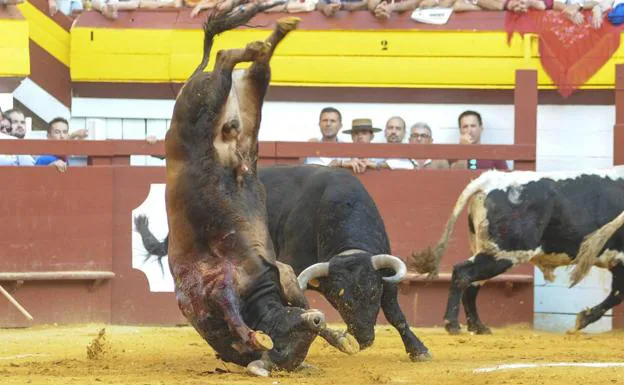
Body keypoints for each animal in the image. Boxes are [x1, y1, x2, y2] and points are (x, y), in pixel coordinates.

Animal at [135, 164, 428, 360]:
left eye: (373, 292)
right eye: (338, 298)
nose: (364, 339)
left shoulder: (385, 275)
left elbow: (396, 313)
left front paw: (418, 350)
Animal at [410, 166, 624, 334]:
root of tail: (490, 180)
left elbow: (617, 293)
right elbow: (618, 294)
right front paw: (583, 319)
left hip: (488, 250)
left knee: (472, 282)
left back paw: (478, 326)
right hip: (505, 253)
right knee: (463, 273)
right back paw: (453, 324)